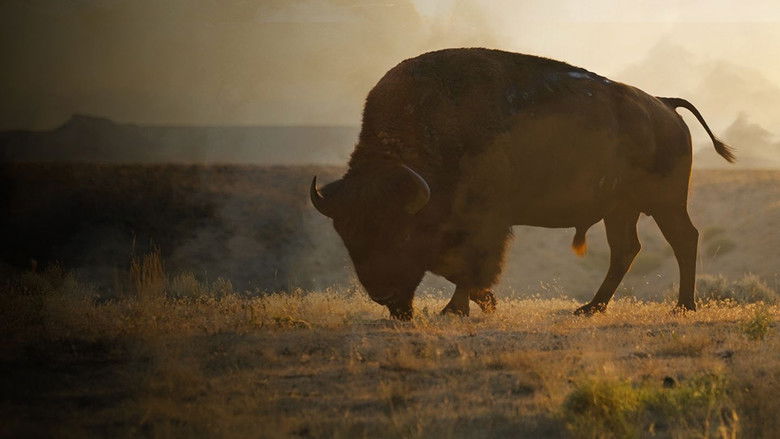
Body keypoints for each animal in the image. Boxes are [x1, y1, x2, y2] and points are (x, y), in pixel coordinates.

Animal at [311, 48, 734, 319]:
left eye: (400, 233)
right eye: (347, 236)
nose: (384, 296)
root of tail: (664, 104)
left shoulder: (484, 223)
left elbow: (471, 265)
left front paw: (456, 310)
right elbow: (461, 269)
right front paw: (483, 303)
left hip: (666, 203)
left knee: (683, 239)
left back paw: (683, 306)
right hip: (621, 209)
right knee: (626, 249)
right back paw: (590, 308)